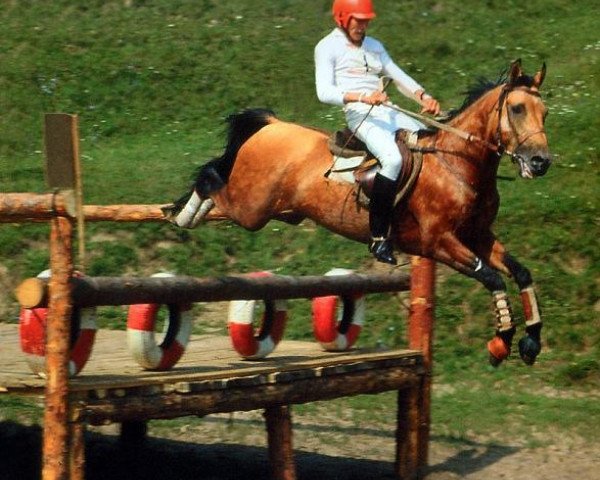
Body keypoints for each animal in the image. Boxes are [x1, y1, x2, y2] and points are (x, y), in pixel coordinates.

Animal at [165, 61, 552, 368]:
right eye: (517, 109)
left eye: (545, 112)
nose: (540, 162)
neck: (456, 164)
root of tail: (273, 124)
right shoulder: (439, 242)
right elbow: (492, 278)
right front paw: (501, 342)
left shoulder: (479, 236)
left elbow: (521, 273)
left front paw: (531, 340)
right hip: (251, 208)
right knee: (211, 180)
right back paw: (183, 214)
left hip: (279, 211)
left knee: (218, 194)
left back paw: (183, 214)